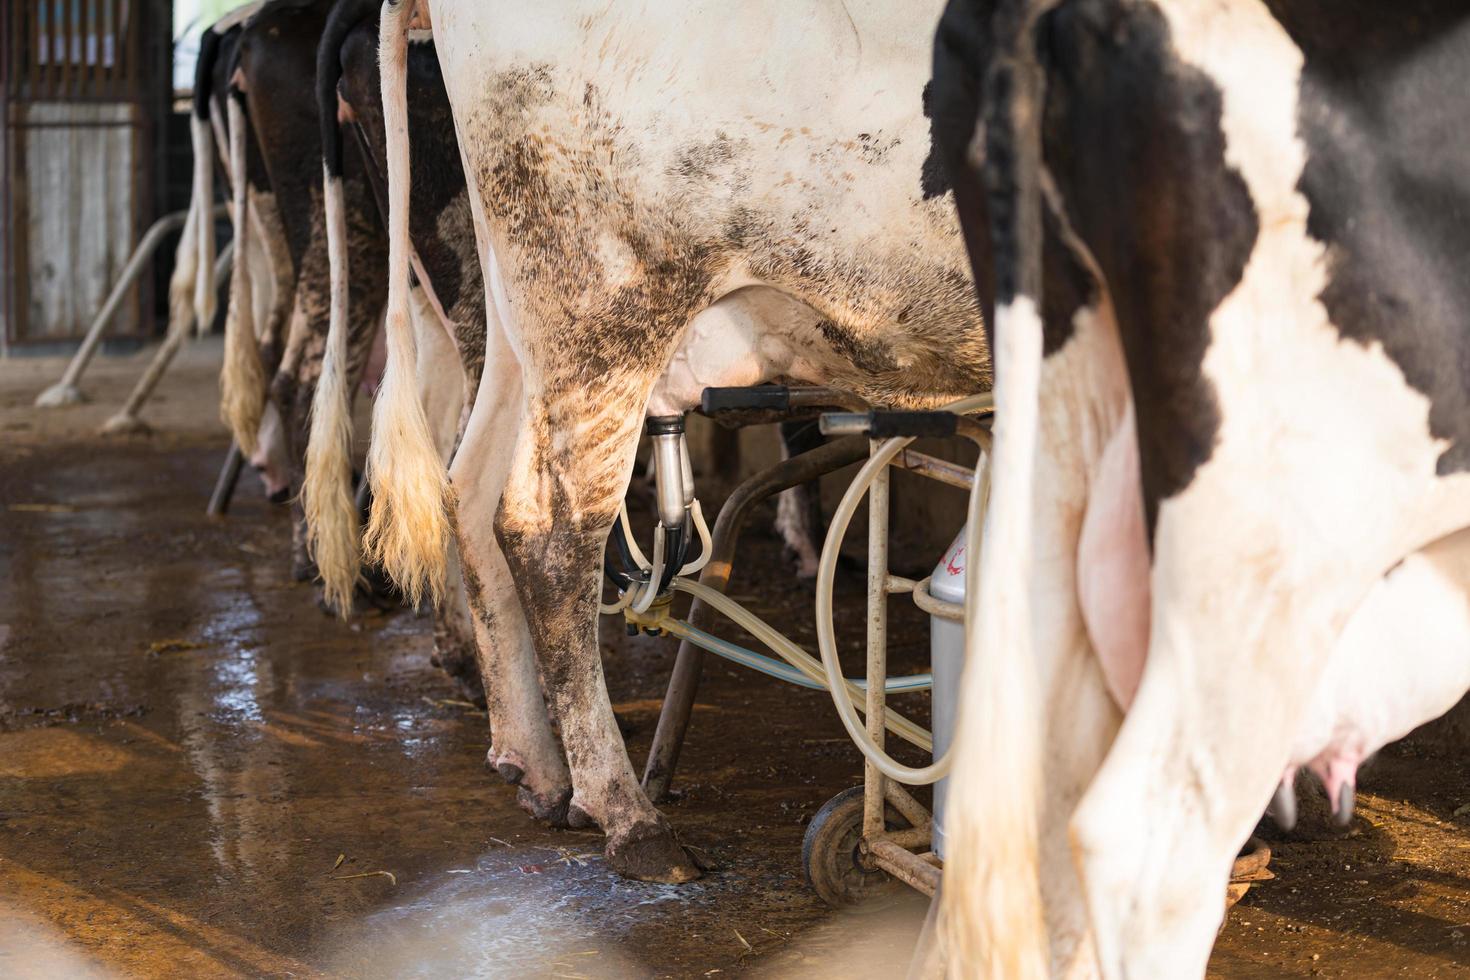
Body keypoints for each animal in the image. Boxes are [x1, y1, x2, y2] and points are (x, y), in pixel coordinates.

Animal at [361, 0, 987, 887]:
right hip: (602, 310)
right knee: (547, 534)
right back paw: (629, 815)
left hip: (521, 324)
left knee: (470, 491)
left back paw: (537, 768)